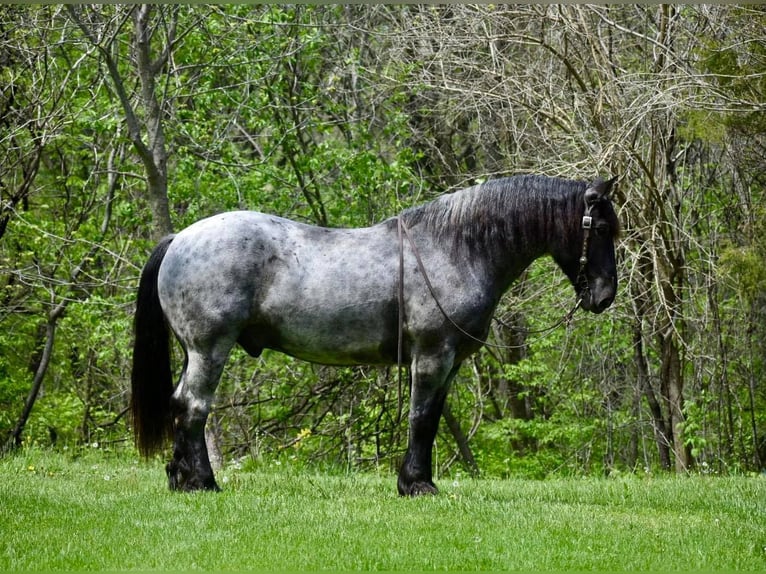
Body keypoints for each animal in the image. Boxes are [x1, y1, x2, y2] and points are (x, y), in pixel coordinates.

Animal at [132, 174, 620, 496]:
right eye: (600, 228)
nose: (604, 297)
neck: (457, 248)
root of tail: (179, 239)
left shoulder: (448, 363)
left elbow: (432, 419)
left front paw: (417, 480)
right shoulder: (432, 356)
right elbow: (421, 418)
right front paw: (417, 486)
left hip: (195, 352)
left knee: (181, 404)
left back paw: (180, 478)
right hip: (209, 349)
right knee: (193, 406)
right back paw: (202, 483)